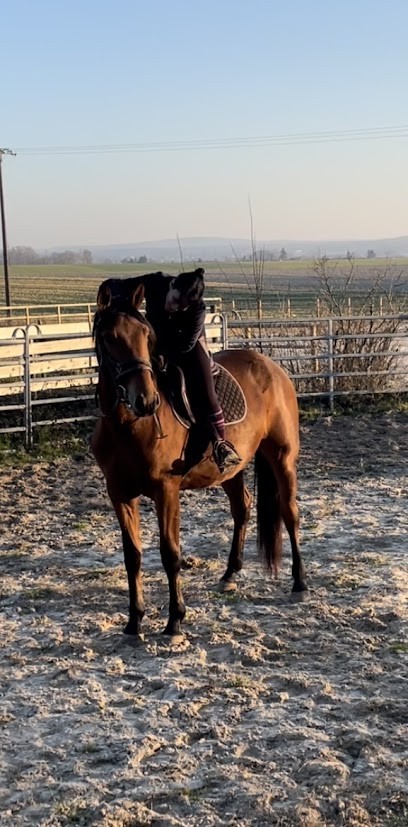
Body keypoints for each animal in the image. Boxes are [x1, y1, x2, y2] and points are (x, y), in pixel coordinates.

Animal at [90, 278, 307, 637]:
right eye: (109, 338)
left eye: (145, 335)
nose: (146, 400)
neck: (129, 426)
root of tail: (273, 367)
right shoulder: (119, 493)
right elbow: (132, 555)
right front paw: (134, 620)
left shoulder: (166, 490)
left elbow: (169, 553)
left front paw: (175, 619)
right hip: (231, 470)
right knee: (242, 508)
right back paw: (230, 573)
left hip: (282, 458)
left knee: (290, 515)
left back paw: (300, 582)